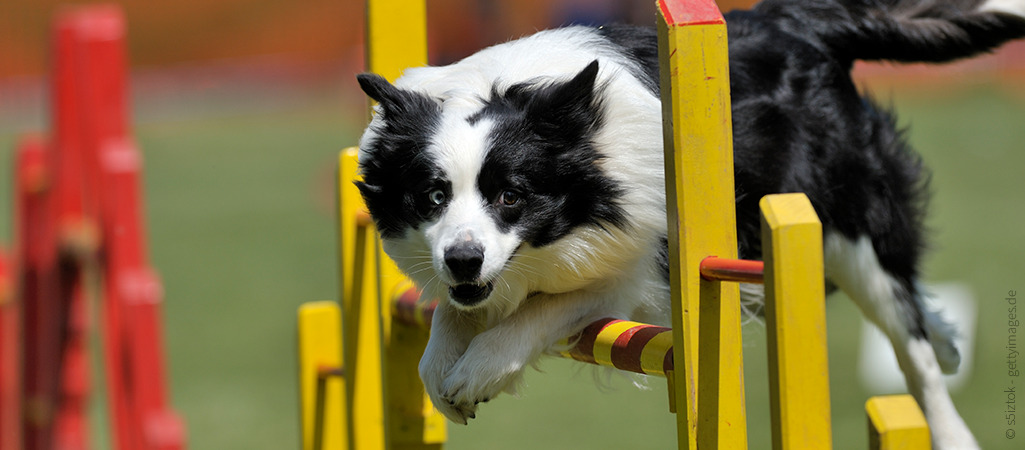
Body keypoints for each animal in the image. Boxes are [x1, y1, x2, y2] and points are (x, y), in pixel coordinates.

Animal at [354, 0, 1025, 446]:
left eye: (512, 197)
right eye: (432, 196)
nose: (462, 259)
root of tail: (795, 20)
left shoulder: (635, 265)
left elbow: (539, 312)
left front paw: (478, 371)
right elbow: (446, 320)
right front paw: (444, 367)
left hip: (844, 222)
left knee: (910, 342)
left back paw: (947, 418)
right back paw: (950, 339)